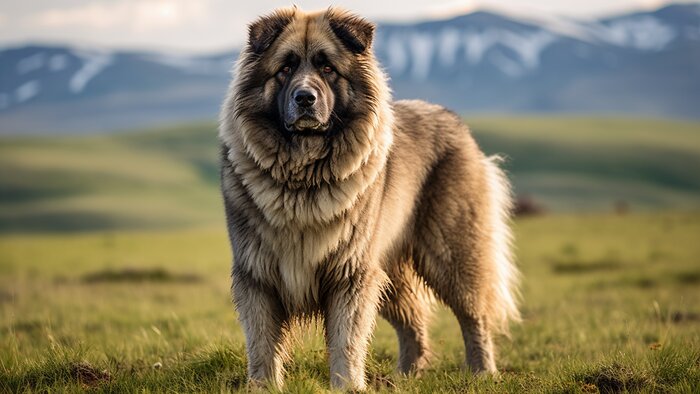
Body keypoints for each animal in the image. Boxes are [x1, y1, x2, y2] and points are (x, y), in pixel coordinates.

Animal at [219, 6, 520, 390]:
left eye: (328, 68)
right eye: (284, 68)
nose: (305, 98)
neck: (303, 177)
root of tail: (455, 121)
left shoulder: (351, 272)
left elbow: (346, 338)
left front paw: (347, 385)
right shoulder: (257, 274)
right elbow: (261, 342)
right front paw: (264, 386)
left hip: (452, 253)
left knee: (473, 316)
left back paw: (483, 371)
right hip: (389, 268)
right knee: (413, 321)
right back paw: (405, 377)